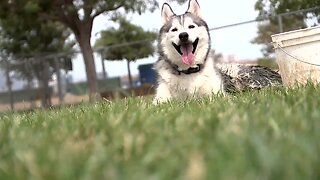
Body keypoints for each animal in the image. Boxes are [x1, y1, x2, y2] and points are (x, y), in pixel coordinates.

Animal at [154, 0, 282, 102]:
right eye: (174, 30)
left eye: (191, 26)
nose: (183, 35)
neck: (189, 71)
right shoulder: (160, 100)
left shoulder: (219, 94)